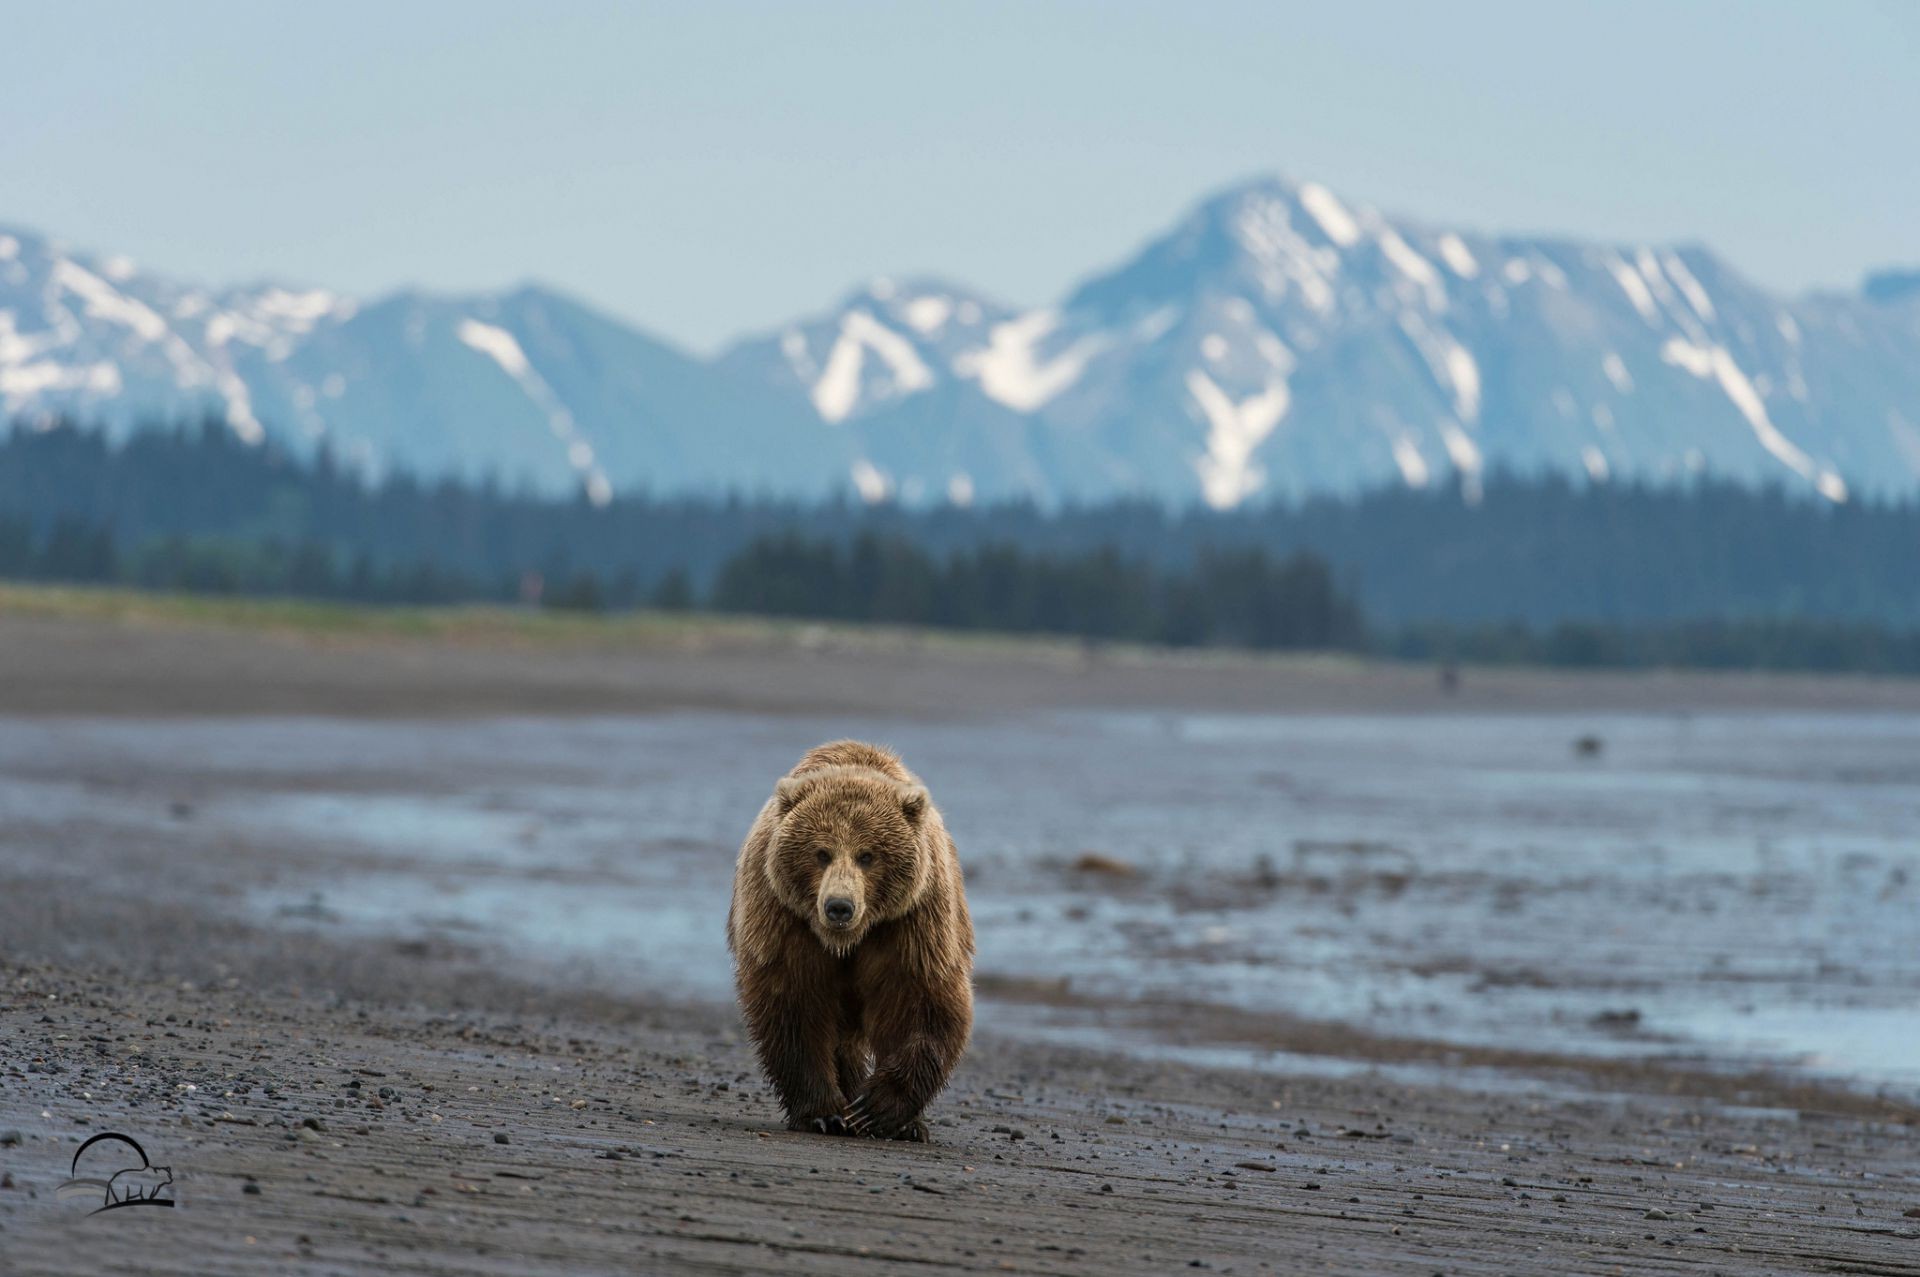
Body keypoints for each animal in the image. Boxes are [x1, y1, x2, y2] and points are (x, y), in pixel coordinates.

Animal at [729, 741, 983, 1136]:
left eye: (867, 855)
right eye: (821, 853)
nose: (839, 907)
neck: (847, 941)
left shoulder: (912, 922)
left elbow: (922, 1001)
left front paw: (878, 1108)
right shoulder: (784, 919)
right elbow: (794, 1004)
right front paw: (825, 1113)